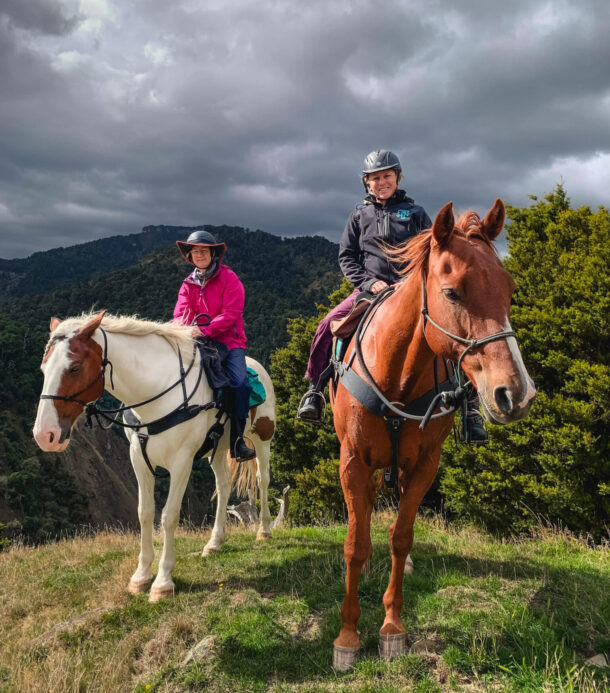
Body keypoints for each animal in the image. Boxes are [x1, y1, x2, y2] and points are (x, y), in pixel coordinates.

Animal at [32, 312, 276, 602]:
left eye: (75, 368)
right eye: (43, 369)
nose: (44, 434)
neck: (155, 396)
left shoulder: (182, 461)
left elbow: (169, 516)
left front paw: (163, 581)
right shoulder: (138, 459)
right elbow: (145, 513)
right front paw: (141, 575)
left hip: (263, 438)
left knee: (262, 479)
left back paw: (264, 531)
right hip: (218, 449)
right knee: (224, 485)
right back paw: (215, 542)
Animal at [329, 199, 536, 668]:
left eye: (509, 289)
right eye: (452, 292)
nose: (516, 393)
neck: (397, 378)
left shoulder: (425, 465)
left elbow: (401, 537)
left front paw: (391, 626)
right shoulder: (352, 462)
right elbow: (354, 544)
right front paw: (347, 635)